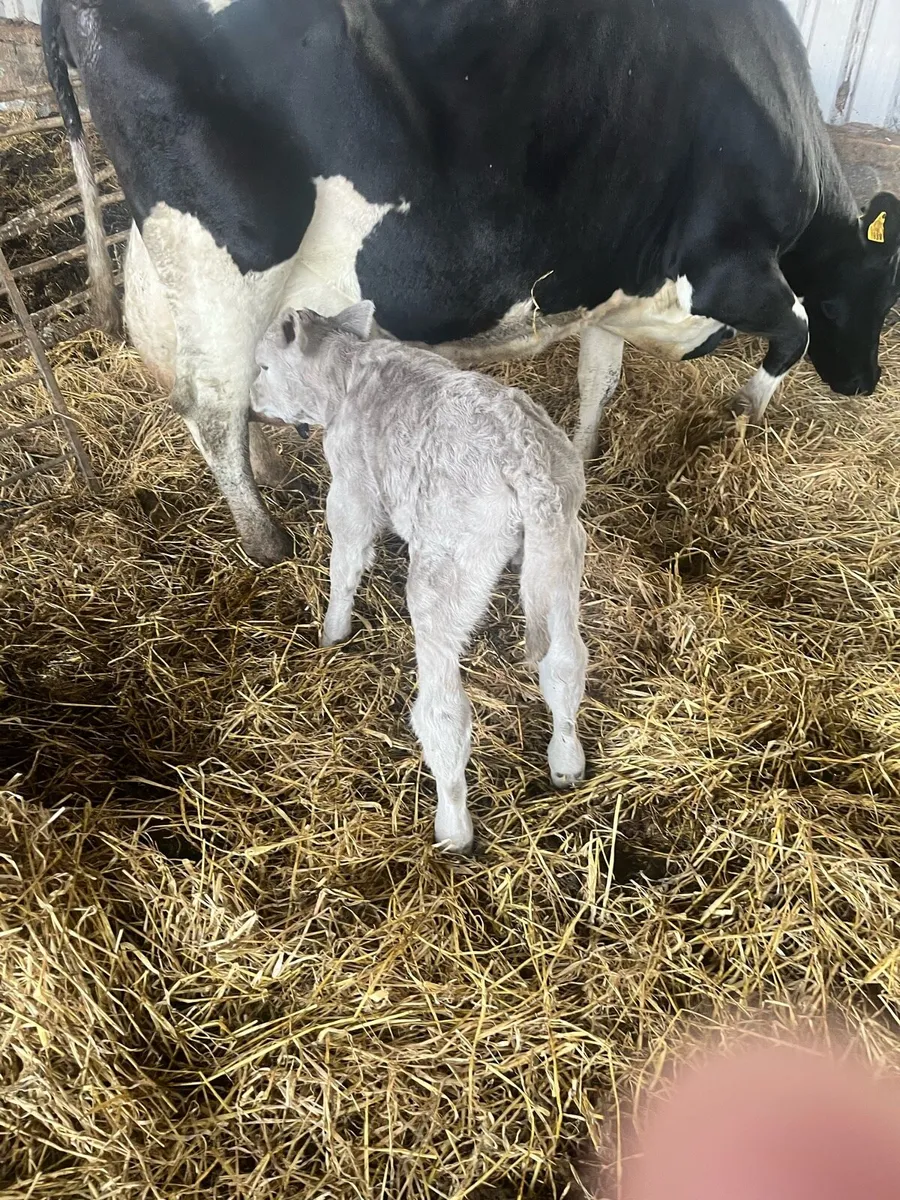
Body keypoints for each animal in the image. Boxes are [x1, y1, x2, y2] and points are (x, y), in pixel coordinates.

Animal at [43, 0, 900, 566]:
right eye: (887, 293)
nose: (866, 383)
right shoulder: (724, 271)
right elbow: (795, 330)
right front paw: (739, 419)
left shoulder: (614, 283)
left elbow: (600, 379)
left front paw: (578, 456)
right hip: (231, 253)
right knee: (209, 400)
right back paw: (264, 538)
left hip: (174, 255)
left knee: (187, 367)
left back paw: (275, 473)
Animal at [251, 300, 588, 852]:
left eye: (262, 366)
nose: (252, 406)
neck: (348, 376)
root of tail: (524, 457)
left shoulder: (351, 490)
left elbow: (346, 562)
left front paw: (331, 634)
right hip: (562, 551)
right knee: (564, 663)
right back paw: (566, 759)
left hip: (444, 572)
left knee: (445, 711)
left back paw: (453, 827)